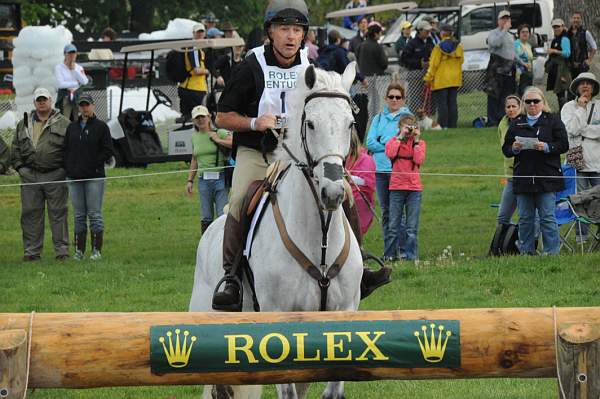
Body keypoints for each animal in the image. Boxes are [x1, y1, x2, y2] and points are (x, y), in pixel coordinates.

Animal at [190, 62, 364, 399]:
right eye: (310, 123)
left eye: (350, 123)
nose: (333, 193)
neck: (320, 240)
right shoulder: (279, 317)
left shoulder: (343, 314)